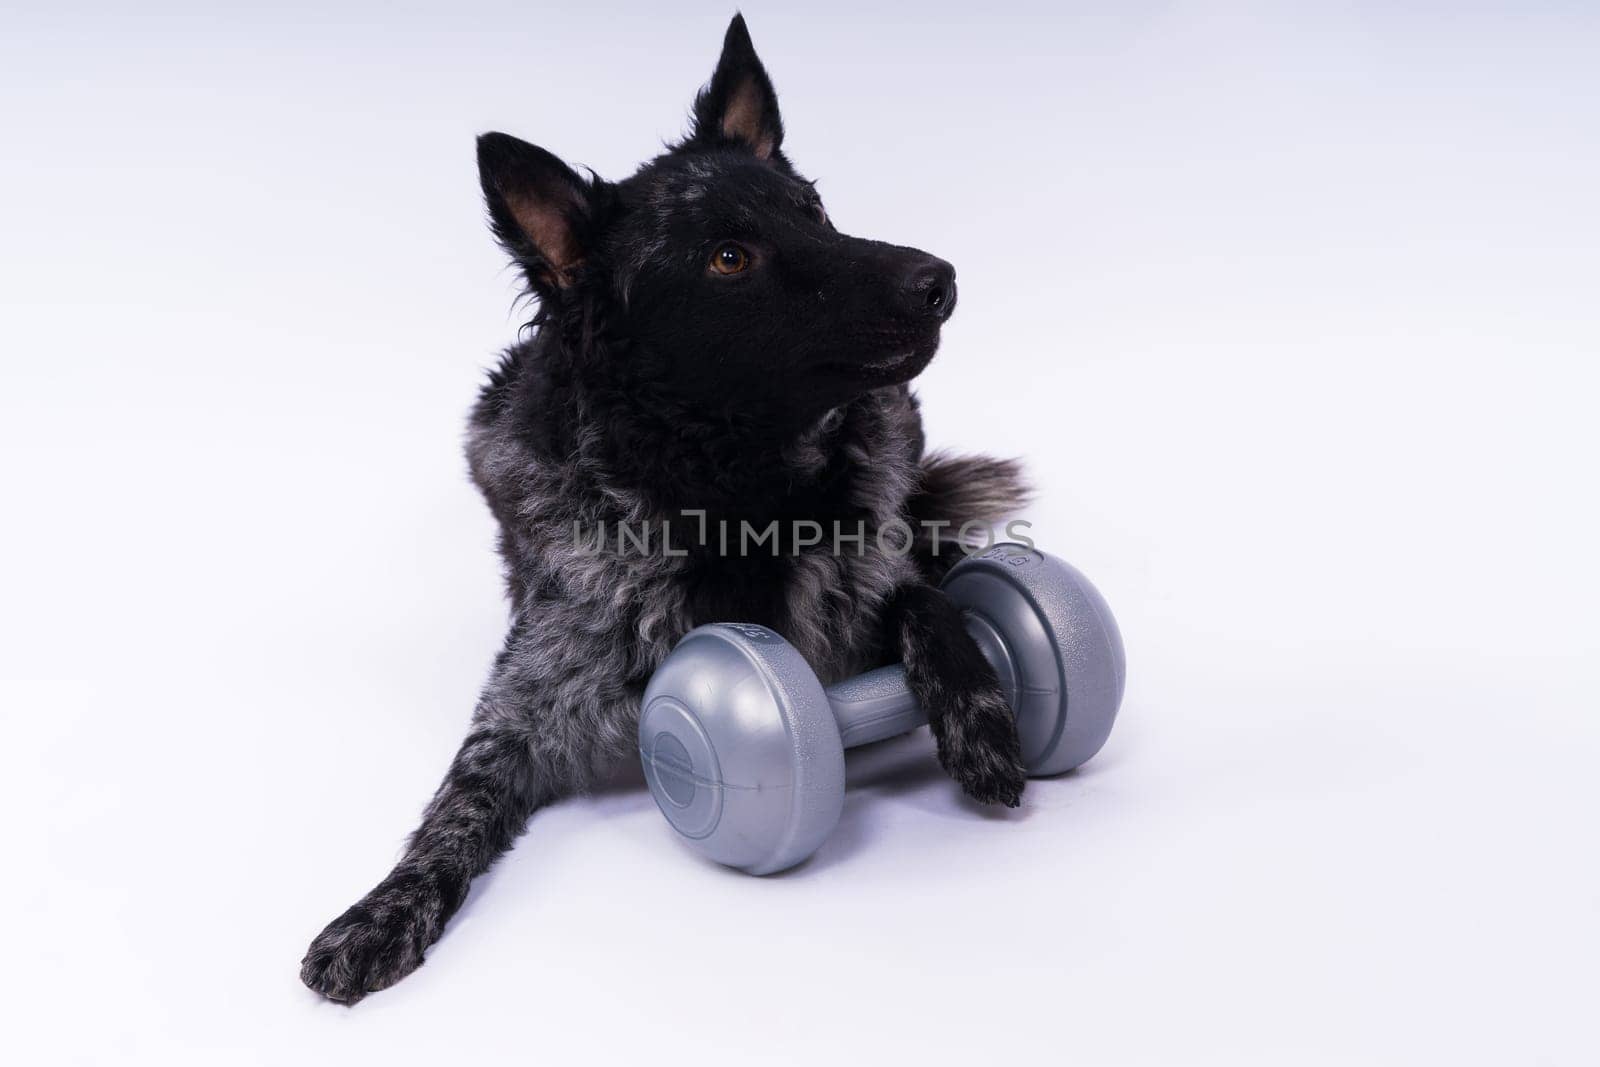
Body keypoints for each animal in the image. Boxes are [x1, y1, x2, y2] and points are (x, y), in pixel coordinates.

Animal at [300, 12, 1024, 1004]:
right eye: (729, 257)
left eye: (814, 211)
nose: (939, 279)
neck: (732, 494)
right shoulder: (526, 702)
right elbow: (458, 799)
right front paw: (379, 908)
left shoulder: (872, 576)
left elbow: (923, 599)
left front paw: (979, 718)